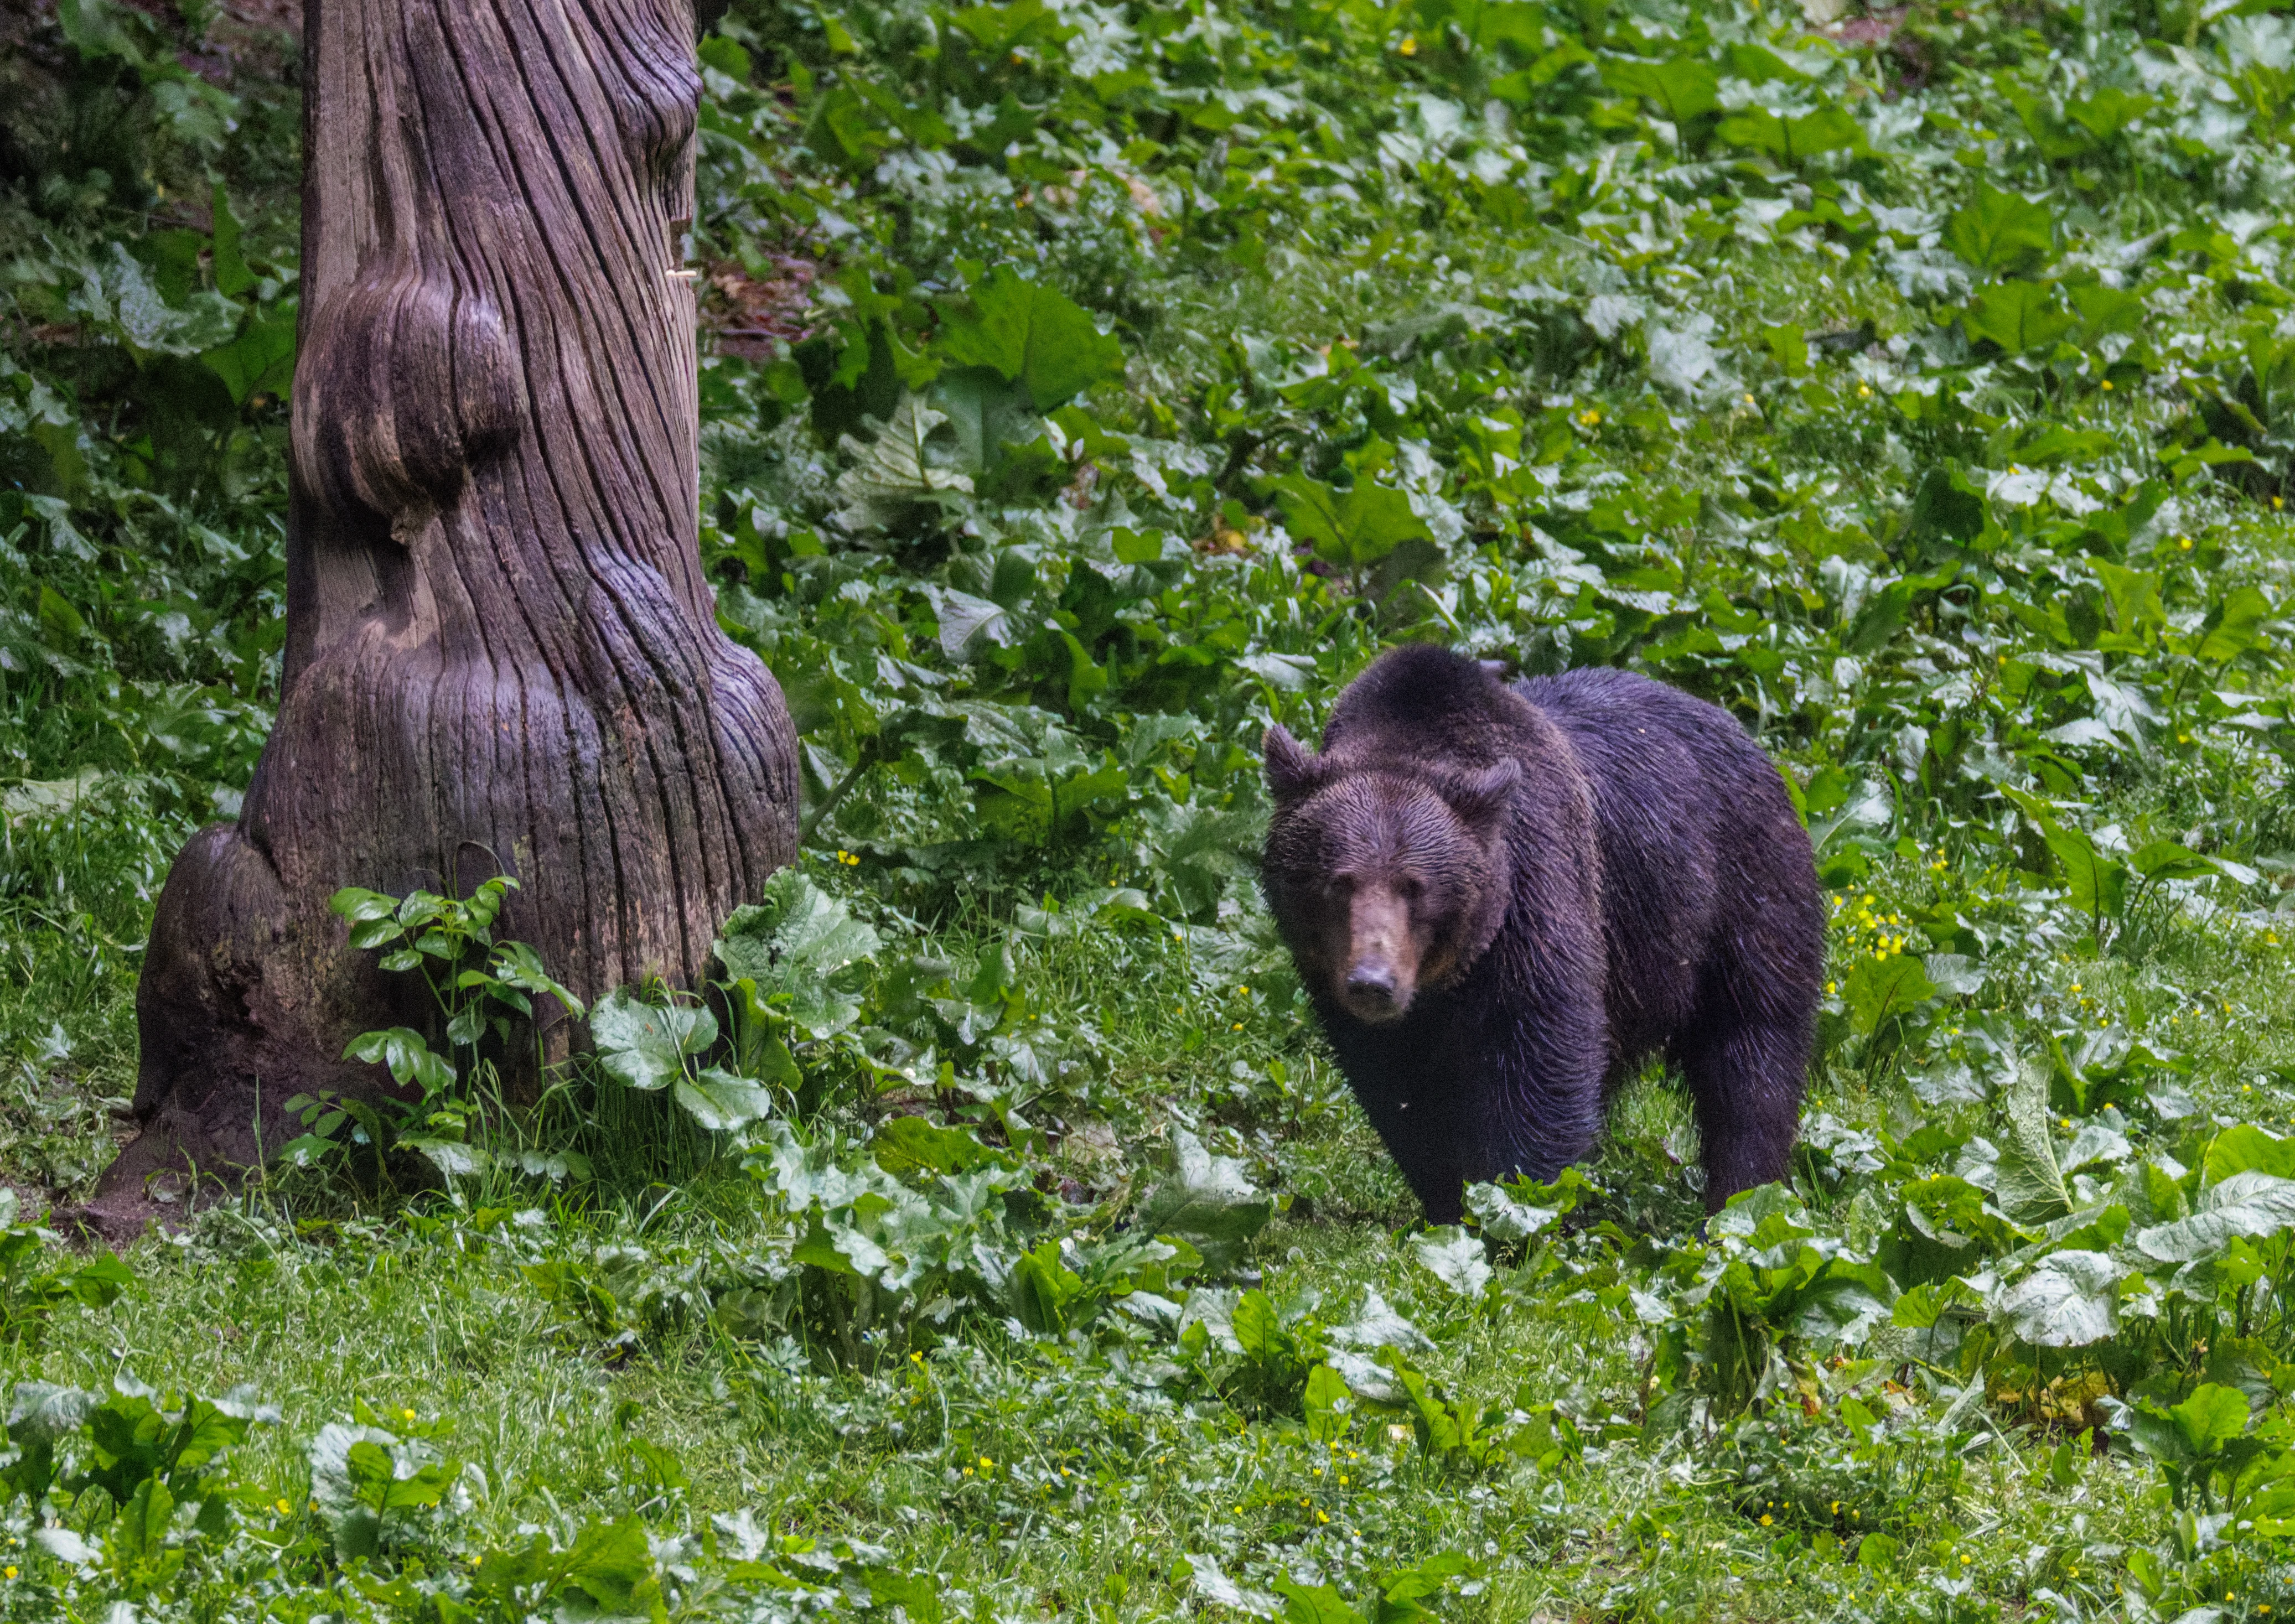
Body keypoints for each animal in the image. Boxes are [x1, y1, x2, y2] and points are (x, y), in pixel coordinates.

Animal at [1260, 644, 1823, 1223]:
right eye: (1339, 882)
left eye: (1415, 887)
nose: (1372, 982)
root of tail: (1743, 734)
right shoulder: (1363, 1007)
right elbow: (1404, 1096)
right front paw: (1448, 1200)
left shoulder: (1535, 900)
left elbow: (1539, 1063)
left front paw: (1517, 1201)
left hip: (1740, 894)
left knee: (1750, 1052)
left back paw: (1740, 1200)